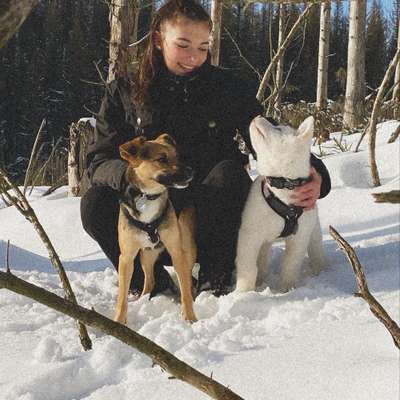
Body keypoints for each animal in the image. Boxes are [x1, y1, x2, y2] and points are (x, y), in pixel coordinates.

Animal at [113, 134, 198, 324]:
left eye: (177, 156)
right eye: (161, 159)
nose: (191, 171)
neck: (148, 196)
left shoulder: (177, 252)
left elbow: (185, 291)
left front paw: (190, 318)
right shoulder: (126, 257)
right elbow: (122, 296)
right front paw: (119, 321)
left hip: (187, 249)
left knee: (188, 281)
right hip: (146, 255)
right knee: (150, 281)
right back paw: (142, 301)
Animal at [238, 114, 324, 292]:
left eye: (277, 128)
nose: (258, 116)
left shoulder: (299, 238)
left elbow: (290, 266)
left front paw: (286, 290)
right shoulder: (249, 235)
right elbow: (247, 267)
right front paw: (243, 292)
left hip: (313, 232)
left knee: (316, 250)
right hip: (264, 239)